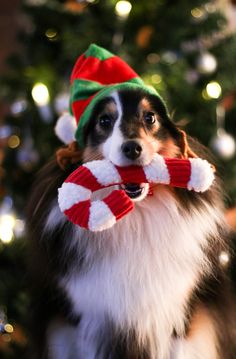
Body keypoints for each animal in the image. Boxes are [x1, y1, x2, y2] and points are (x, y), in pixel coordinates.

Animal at [27, 88, 234, 359]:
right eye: (104, 120)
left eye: (150, 117)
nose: (132, 148)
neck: (136, 219)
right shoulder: (86, 316)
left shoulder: (179, 313)